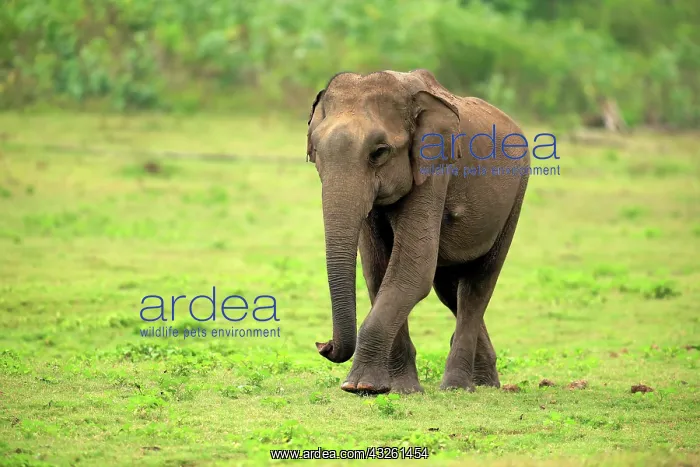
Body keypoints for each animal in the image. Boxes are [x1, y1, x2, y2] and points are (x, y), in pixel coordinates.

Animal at [307, 69, 529, 394]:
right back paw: (486, 383)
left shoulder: (434, 171)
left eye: (379, 152)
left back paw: (457, 387)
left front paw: (360, 387)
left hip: (516, 197)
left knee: (477, 285)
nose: (322, 345)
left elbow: (411, 271)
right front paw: (400, 389)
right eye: (315, 152)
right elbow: (377, 272)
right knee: (449, 290)